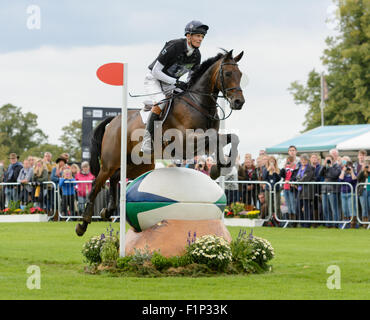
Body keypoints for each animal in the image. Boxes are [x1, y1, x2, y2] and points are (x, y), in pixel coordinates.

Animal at [75, 48, 246, 236]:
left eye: (240, 74)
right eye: (228, 73)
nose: (239, 102)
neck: (198, 103)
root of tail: (114, 120)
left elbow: (230, 138)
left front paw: (219, 167)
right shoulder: (185, 142)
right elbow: (216, 139)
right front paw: (218, 168)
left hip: (138, 165)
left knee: (114, 178)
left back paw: (108, 210)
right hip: (110, 161)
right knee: (96, 184)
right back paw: (83, 224)